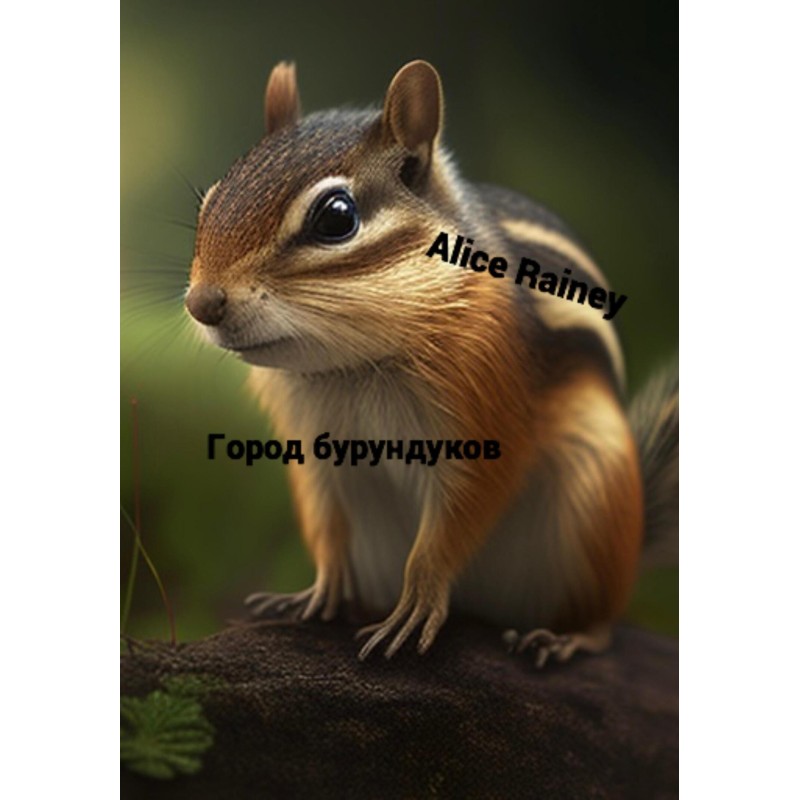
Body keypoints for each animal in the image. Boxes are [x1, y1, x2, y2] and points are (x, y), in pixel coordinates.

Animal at [185, 60, 678, 666]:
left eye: (336, 218)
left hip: (595, 505)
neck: (356, 368)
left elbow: (458, 517)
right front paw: (314, 591)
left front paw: (417, 604)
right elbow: (326, 523)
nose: (201, 303)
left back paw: (566, 637)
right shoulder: (312, 448)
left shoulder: (486, 411)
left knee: (604, 620)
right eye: (209, 201)